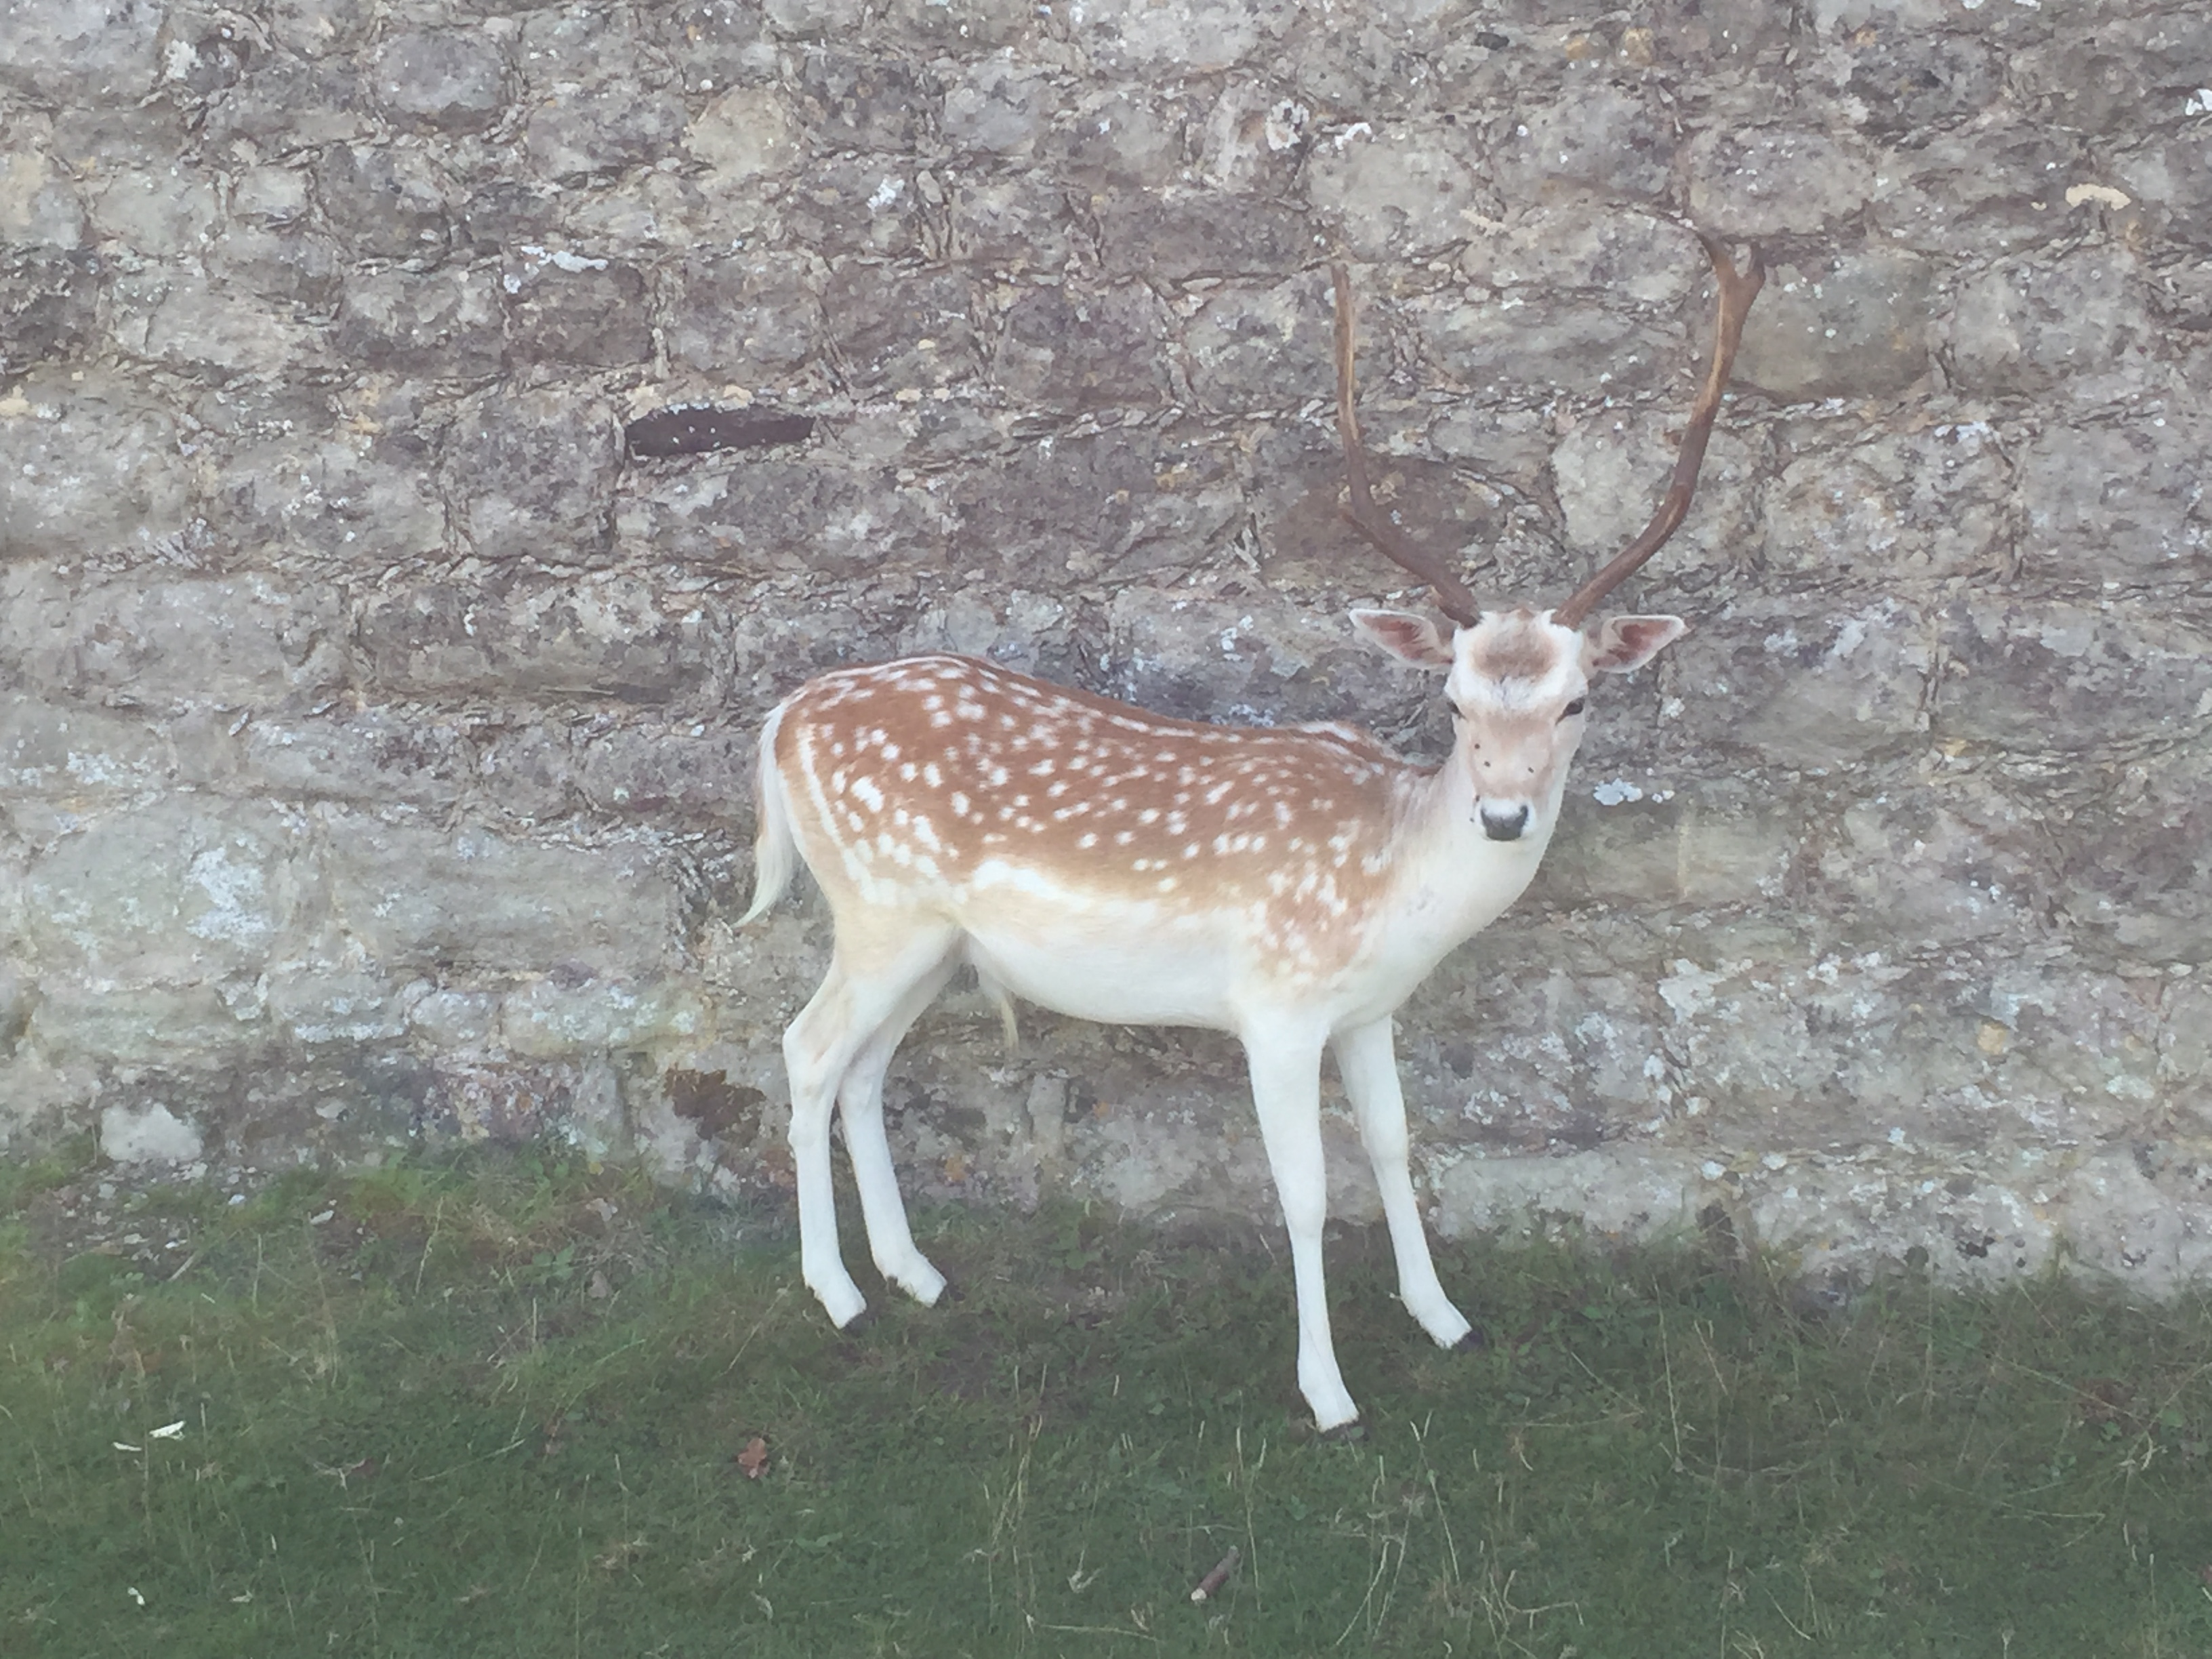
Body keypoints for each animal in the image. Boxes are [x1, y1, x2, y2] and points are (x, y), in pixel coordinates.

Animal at [739, 231, 1765, 1434]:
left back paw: (916, 1274)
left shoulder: (1369, 1011)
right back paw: (840, 1295)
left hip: (933, 942)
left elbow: (1396, 1145)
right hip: (880, 910)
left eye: (1576, 703)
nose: (1505, 813)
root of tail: (783, 719)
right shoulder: (1275, 1004)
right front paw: (1328, 1392)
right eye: (1453, 702)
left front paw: (1446, 1319)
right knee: (808, 1050)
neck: (1393, 888)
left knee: (862, 1070)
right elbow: (1307, 1192)